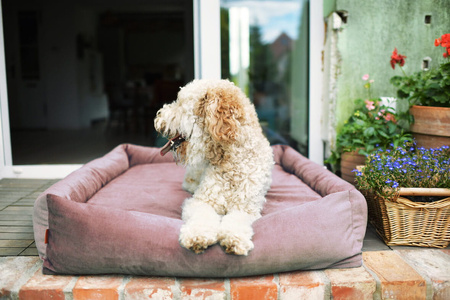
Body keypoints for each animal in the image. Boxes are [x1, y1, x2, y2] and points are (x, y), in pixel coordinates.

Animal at [155, 78, 274, 254]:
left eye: (180, 103)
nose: (158, 117)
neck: (231, 163)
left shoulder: (246, 208)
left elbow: (236, 220)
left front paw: (234, 239)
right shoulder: (201, 201)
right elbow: (202, 216)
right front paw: (197, 236)